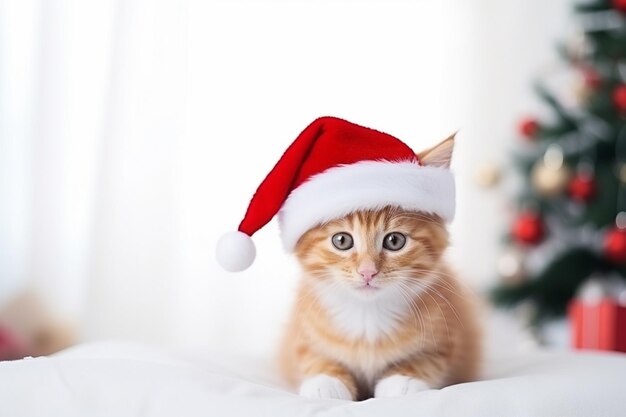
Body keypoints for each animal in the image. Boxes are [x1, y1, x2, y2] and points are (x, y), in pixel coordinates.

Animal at [276, 136, 480, 400]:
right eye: (342, 240)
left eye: (394, 241)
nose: (367, 272)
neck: (368, 317)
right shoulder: (300, 332)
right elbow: (310, 355)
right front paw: (326, 381)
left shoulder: (451, 333)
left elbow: (429, 358)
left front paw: (403, 379)